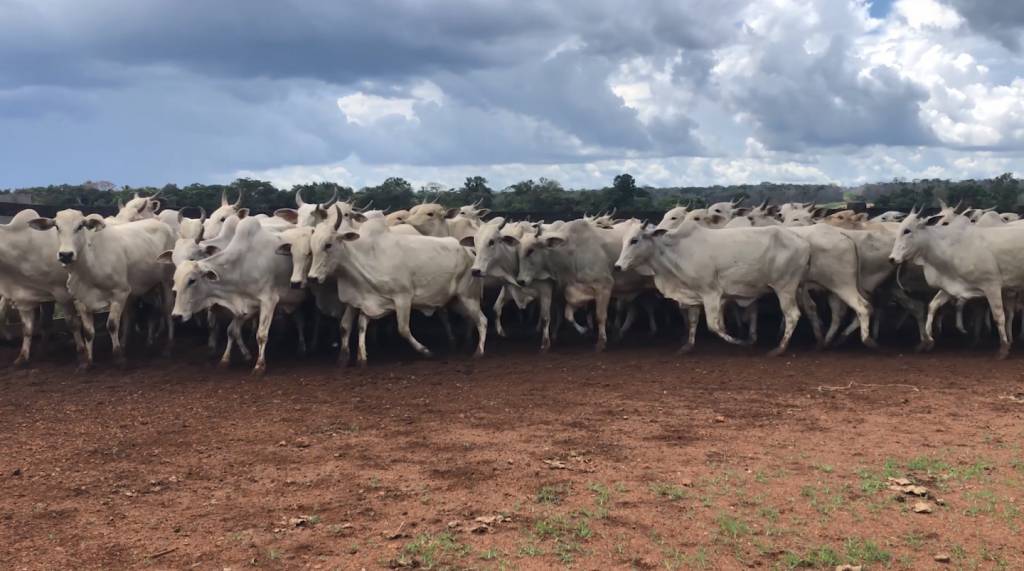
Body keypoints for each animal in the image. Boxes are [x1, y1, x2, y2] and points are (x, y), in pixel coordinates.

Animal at [29, 210, 174, 366]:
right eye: (56, 226)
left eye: (80, 226)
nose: (66, 255)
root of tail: (163, 225)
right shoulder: (81, 300)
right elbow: (88, 332)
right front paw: (88, 361)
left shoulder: (120, 292)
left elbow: (112, 325)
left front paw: (118, 357)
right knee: (139, 312)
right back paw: (134, 342)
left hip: (166, 281)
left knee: (167, 309)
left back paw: (167, 347)